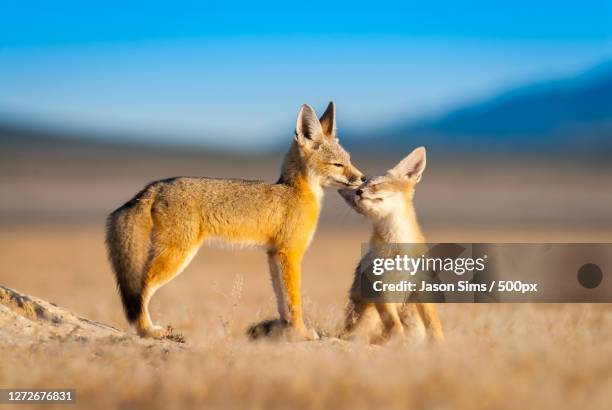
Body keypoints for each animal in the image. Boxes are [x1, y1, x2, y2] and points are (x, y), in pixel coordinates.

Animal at [105, 102, 364, 340]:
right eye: (338, 164)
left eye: (349, 160)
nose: (362, 178)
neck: (296, 191)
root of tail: (156, 185)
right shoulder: (289, 253)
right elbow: (293, 301)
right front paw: (300, 332)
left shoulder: (273, 253)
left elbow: (282, 300)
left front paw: (286, 330)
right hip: (177, 255)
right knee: (142, 289)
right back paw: (147, 330)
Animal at [338, 147, 442, 342]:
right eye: (358, 189)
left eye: (377, 184)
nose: (357, 193)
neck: (398, 247)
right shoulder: (380, 289)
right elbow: (394, 324)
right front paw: (398, 343)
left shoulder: (421, 285)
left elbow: (433, 323)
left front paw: (440, 344)